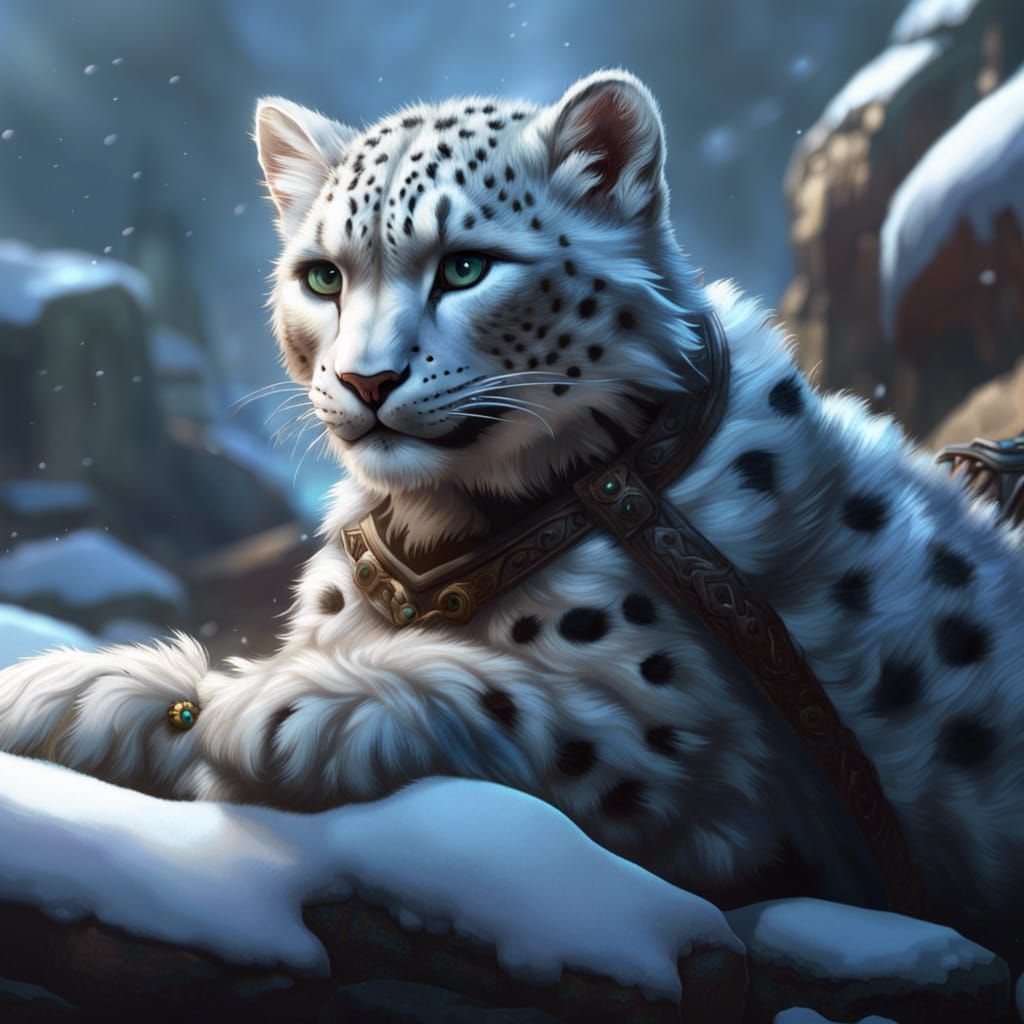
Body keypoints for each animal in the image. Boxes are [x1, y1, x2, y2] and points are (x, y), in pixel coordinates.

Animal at [2, 70, 1022, 960]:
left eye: (465, 266)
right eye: (324, 277)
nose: (366, 380)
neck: (437, 530)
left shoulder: (696, 760)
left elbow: (525, 699)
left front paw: (284, 707)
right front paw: (74, 689)